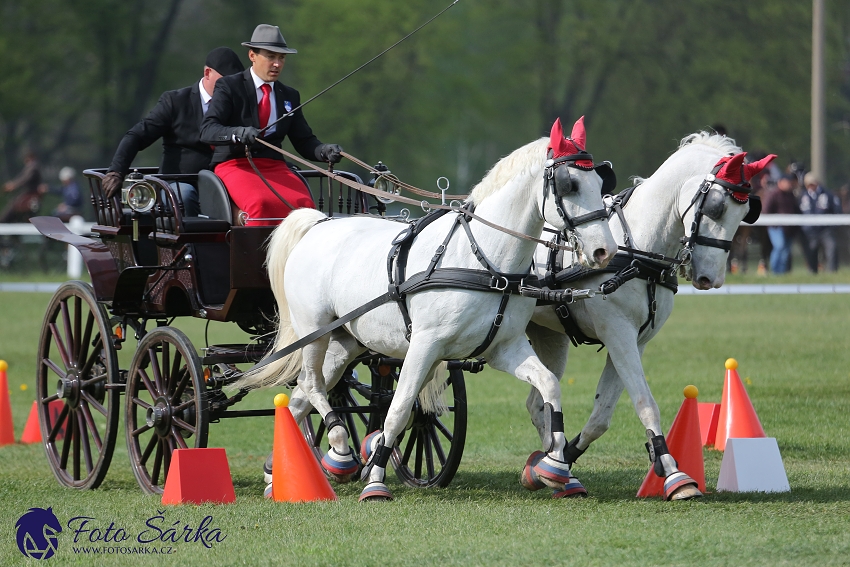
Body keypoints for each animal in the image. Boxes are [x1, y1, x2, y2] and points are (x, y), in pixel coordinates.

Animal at [238, 117, 616, 500]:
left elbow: (549, 385)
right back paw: (340, 451)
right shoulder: (424, 345)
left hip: (345, 342)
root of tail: (318, 223)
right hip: (315, 331)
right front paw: (375, 480)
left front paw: (555, 466)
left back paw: (279, 472)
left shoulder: (504, 348)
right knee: (313, 385)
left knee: (301, 396)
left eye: (602, 182)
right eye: (569, 185)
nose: (605, 251)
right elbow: (400, 408)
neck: (486, 261)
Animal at [520, 133, 772, 502]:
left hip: (549, 336)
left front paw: (561, 461)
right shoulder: (618, 334)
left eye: (745, 211)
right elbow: (645, 402)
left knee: (538, 404)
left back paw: (552, 468)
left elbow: (601, 415)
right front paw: (674, 472)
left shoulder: (634, 341)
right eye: (716, 206)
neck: (638, 250)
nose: (711, 278)